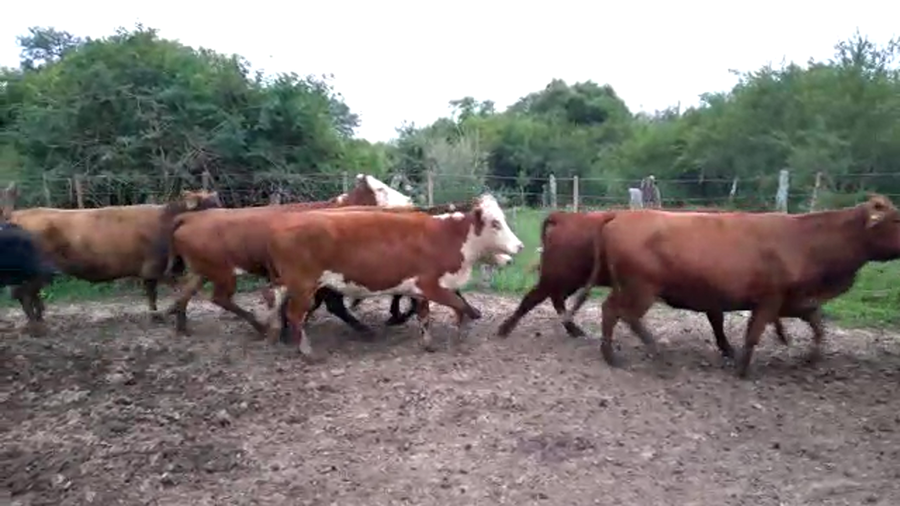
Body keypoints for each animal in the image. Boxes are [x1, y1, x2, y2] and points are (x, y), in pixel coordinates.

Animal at [5, 189, 221, 334]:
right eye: (206, 209)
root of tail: (16, 215)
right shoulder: (154, 267)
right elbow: (154, 293)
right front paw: (158, 317)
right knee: (24, 294)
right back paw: (36, 325)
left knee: (28, 293)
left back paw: (38, 320)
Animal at [161, 174, 415, 336]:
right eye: (380, 189)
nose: (409, 200)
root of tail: (190, 218)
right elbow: (333, 304)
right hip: (222, 273)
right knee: (220, 298)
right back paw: (259, 326)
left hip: (203, 270)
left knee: (188, 291)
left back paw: (181, 325)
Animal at [266, 194, 524, 361]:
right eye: (495, 223)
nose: (519, 247)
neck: (447, 237)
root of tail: (281, 228)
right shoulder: (431, 286)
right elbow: (459, 305)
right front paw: (459, 334)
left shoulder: (420, 291)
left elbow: (425, 316)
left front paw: (428, 343)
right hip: (304, 286)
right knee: (296, 314)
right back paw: (308, 351)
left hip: (296, 286)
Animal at [497, 210, 794, 361]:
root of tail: (567, 216)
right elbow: (719, 320)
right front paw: (730, 348)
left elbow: (721, 320)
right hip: (560, 275)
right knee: (534, 298)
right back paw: (505, 329)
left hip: (568, 279)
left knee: (555, 299)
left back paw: (574, 330)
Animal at [565, 195, 900, 378]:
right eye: (896, 220)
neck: (805, 240)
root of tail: (618, 216)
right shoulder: (769, 299)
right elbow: (754, 333)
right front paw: (742, 367)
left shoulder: (795, 300)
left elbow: (817, 325)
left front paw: (812, 357)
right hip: (641, 288)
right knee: (620, 313)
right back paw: (640, 351)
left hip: (631, 287)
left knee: (613, 310)